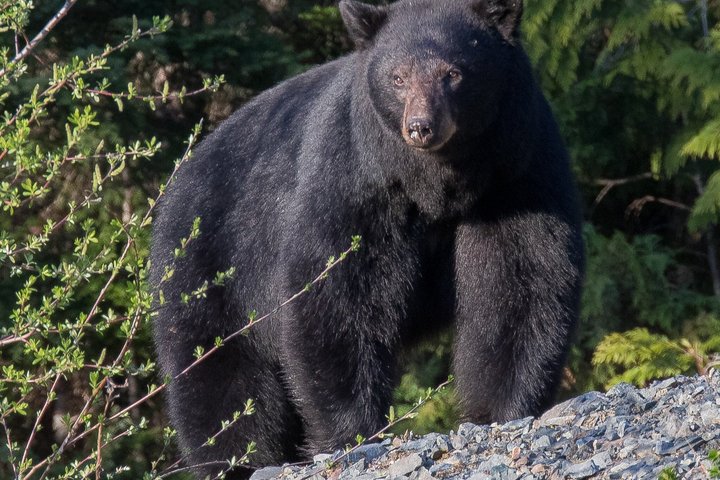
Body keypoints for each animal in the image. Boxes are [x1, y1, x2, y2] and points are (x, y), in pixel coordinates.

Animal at [149, 0, 584, 478]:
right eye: (397, 76)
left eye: (454, 72)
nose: (421, 126)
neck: (438, 183)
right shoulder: (356, 181)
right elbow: (338, 296)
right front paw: (351, 431)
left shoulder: (516, 174)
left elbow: (521, 281)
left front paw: (502, 408)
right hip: (210, 268)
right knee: (220, 378)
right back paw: (239, 459)